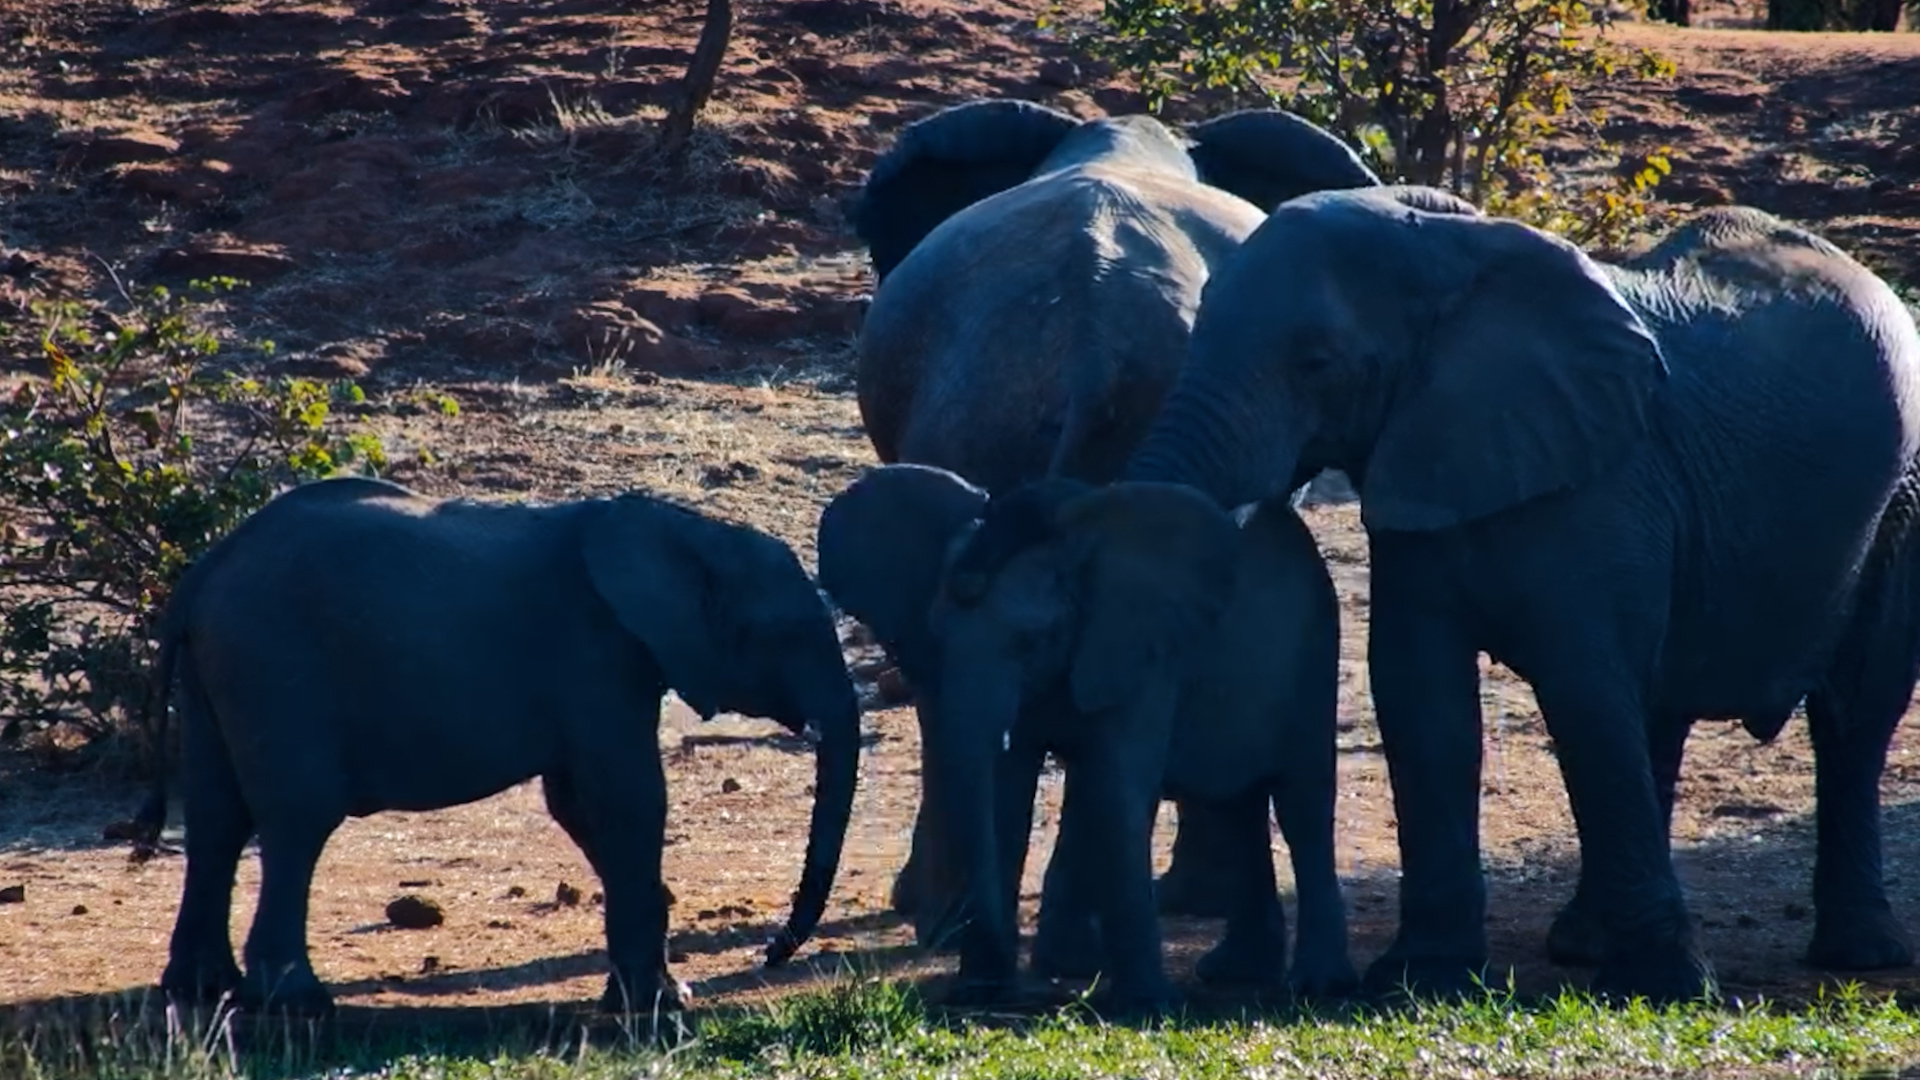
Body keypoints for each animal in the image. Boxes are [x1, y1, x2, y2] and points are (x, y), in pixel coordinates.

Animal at [134, 476, 861, 1016]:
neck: (688, 529)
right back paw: (296, 1003)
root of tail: (203, 571)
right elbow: (628, 800)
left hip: (219, 670)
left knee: (218, 817)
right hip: (273, 664)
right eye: (790, 633)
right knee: (296, 819)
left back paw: (201, 992)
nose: (771, 953)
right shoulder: (594, 655)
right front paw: (661, 1006)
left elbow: (579, 806)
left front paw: (657, 991)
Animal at [817, 462, 1356, 1009]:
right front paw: (982, 989)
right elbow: (1005, 791)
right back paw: (1233, 972)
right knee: (1233, 803)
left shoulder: (1141, 653)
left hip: (1312, 650)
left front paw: (1147, 1007)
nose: (980, 982)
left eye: (1031, 640)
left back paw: (1316, 986)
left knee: (1301, 802)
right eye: (938, 635)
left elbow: (1116, 787)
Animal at [945, 187, 1920, 1005]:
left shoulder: (1609, 479)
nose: (1019, 514)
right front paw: (1423, 978)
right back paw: (1580, 942)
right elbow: (1420, 693)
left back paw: (1857, 953)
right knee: (1664, 707)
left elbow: (1583, 691)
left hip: (1901, 505)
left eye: (1316, 361)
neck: (1454, 254)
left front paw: (1664, 987)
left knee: (1852, 714)